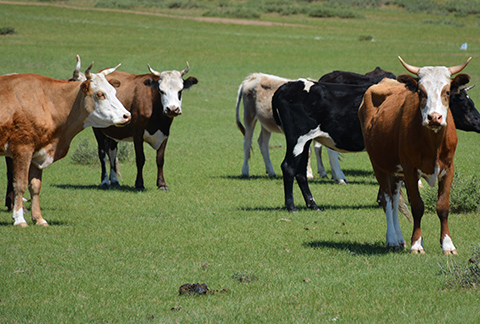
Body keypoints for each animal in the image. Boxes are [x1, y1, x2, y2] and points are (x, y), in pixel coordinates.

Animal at [0, 62, 131, 227]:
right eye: (100, 94)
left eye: (114, 91)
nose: (127, 115)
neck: (46, 101)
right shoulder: (22, 149)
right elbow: (20, 184)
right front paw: (19, 219)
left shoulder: (39, 153)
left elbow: (35, 186)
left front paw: (39, 218)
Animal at [358, 57, 470, 254]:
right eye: (420, 91)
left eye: (447, 91)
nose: (434, 117)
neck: (433, 142)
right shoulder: (410, 170)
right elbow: (417, 206)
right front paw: (417, 244)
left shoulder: (448, 169)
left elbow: (443, 206)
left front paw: (448, 244)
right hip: (379, 165)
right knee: (388, 200)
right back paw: (392, 238)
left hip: (396, 171)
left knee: (395, 200)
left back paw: (399, 239)